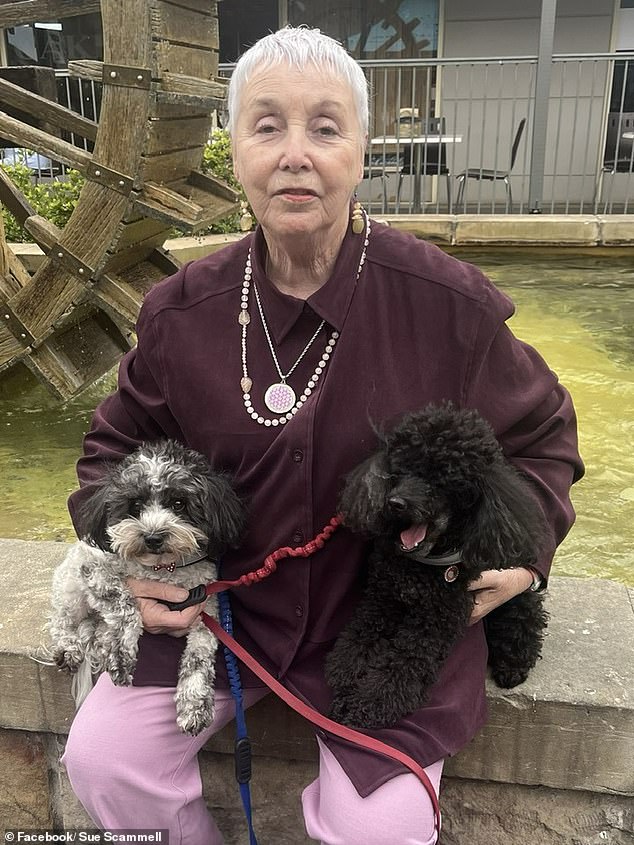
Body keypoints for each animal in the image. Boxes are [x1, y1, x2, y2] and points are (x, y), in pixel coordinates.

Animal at [47, 438, 242, 736]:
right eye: (135, 504)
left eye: (178, 503)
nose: (153, 537)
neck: (162, 568)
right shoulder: (95, 570)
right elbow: (126, 606)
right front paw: (121, 655)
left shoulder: (206, 608)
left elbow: (199, 656)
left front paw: (194, 704)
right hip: (71, 587)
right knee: (62, 621)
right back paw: (69, 647)